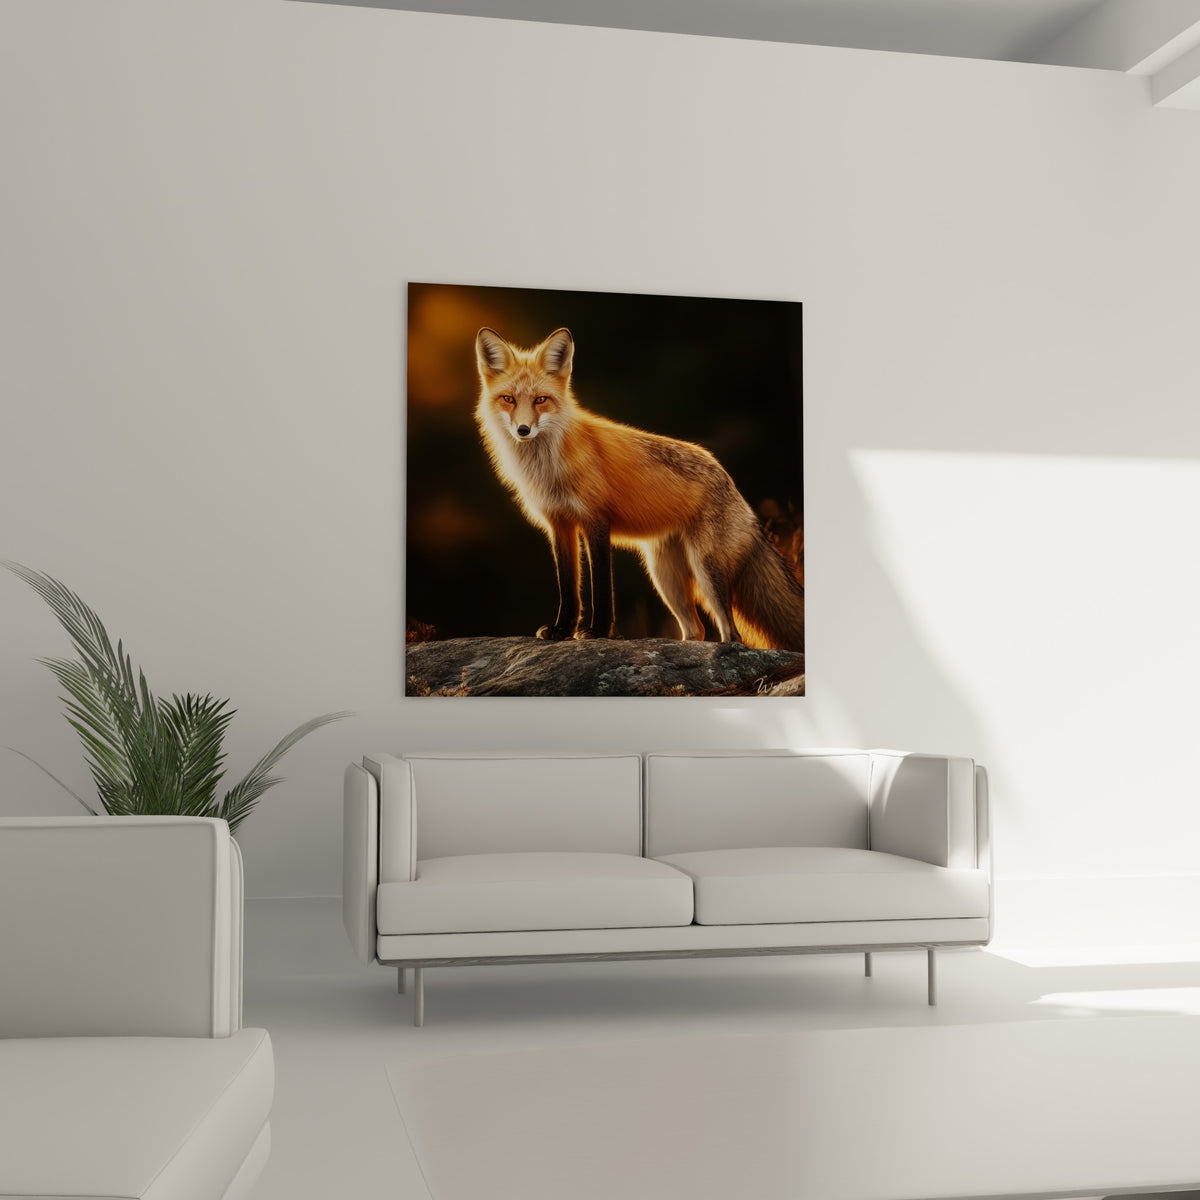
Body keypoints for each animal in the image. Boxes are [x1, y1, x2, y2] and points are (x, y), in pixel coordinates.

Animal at [474, 326, 805, 651]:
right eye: (508, 399)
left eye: (541, 400)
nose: (523, 430)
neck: (549, 465)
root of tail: (730, 481)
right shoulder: (559, 524)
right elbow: (569, 589)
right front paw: (562, 629)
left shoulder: (596, 520)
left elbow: (601, 587)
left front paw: (598, 632)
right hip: (664, 577)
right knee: (696, 630)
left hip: (706, 570)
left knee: (732, 634)